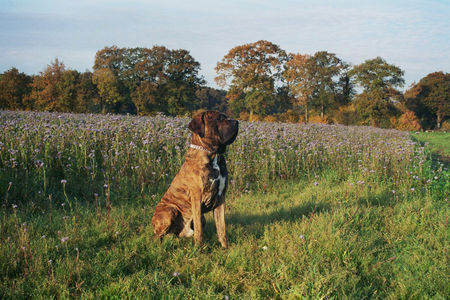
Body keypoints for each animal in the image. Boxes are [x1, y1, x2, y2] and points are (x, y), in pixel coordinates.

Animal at [151, 111, 239, 247]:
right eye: (219, 119)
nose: (237, 122)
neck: (213, 155)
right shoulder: (197, 198)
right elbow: (199, 230)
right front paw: (199, 248)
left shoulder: (220, 198)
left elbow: (221, 228)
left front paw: (226, 248)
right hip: (170, 210)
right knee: (157, 236)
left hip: (201, 218)